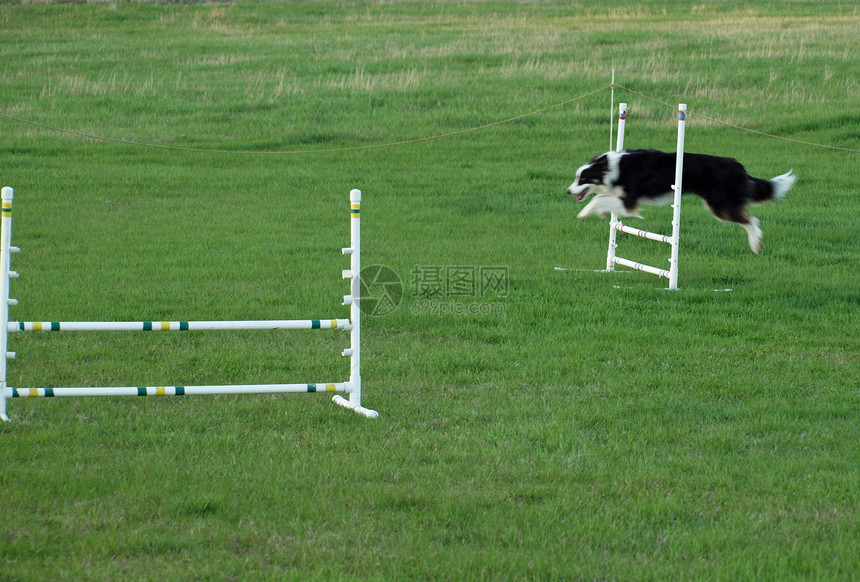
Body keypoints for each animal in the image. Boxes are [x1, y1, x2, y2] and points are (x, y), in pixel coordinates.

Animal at [568, 148, 796, 253]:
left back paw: (756, 243)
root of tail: (737, 166)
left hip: (719, 205)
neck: (612, 168)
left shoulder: (629, 201)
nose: (568, 191)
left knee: (750, 220)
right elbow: (601, 197)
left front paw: (585, 213)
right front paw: (601, 213)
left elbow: (597, 199)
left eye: (582, 179)